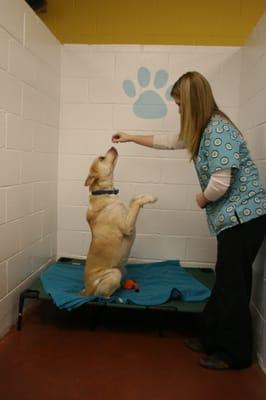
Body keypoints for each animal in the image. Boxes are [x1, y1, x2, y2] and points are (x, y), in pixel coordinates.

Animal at [80, 147, 157, 296]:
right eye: (102, 158)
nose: (113, 147)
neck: (103, 193)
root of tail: (87, 291)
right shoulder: (127, 226)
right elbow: (135, 204)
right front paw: (149, 198)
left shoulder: (128, 213)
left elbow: (134, 199)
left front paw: (145, 196)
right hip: (115, 273)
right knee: (103, 295)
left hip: (122, 269)